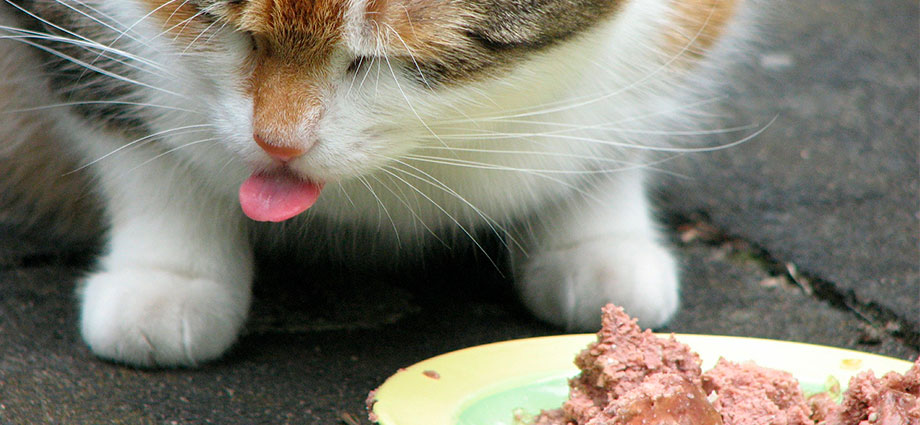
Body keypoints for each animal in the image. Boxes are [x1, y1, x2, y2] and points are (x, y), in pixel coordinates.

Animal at [0, 0, 744, 364]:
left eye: (377, 59)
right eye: (233, 33)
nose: (278, 141)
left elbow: (625, 111)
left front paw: (596, 241)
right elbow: (140, 146)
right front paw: (169, 277)